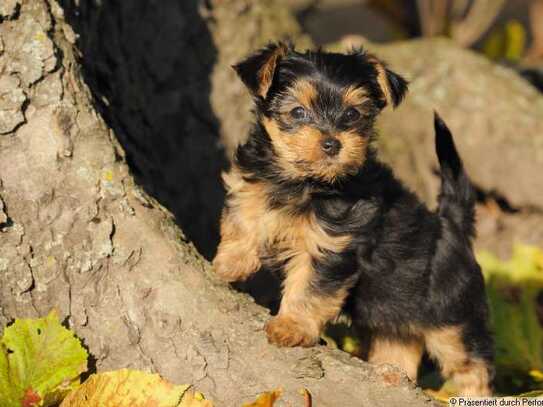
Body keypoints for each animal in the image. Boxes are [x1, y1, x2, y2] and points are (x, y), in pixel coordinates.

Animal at [215, 42, 496, 396]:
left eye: (352, 114)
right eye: (298, 112)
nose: (332, 143)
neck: (303, 182)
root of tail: (451, 225)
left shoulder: (330, 246)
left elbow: (310, 288)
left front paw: (292, 326)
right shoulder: (254, 183)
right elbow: (243, 214)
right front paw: (231, 262)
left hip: (451, 315)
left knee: (472, 363)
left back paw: (471, 393)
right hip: (395, 308)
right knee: (399, 344)